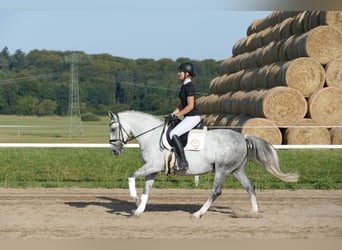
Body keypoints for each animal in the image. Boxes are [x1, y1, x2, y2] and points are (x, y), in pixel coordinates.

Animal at [108, 110, 298, 218]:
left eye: (113, 128)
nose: (114, 151)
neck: (152, 136)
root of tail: (242, 137)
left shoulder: (152, 166)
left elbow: (131, 176)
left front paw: (134, 199)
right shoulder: (152, 169)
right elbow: (147, 189)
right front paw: (138, 209)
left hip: (222, 169)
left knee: (216, 191)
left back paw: (198, 213)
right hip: (236, 170)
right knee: (250, 186)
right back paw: (254, 213)